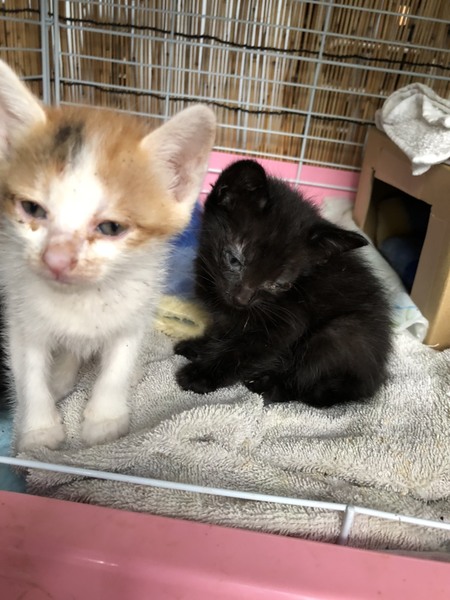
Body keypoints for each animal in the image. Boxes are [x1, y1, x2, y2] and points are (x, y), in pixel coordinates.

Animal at [0, 59, 215, 451]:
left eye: (111, 228)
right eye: (32, 208)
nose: (56, 259)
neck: (81, 299)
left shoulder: (134, 312)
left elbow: (118, 363)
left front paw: (105, 419)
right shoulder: (20, 316)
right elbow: (28, 373)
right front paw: (39, 431)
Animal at [175, 159, 392, 407]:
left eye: (278, 284)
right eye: (234, 260)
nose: (241, 300)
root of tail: (371, 380)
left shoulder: (287, 322)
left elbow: (243, 350)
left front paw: (200, 375)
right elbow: (223, 331)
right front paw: (198, 346)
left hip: (339, 333)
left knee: (305, 382)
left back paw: (267, 385)